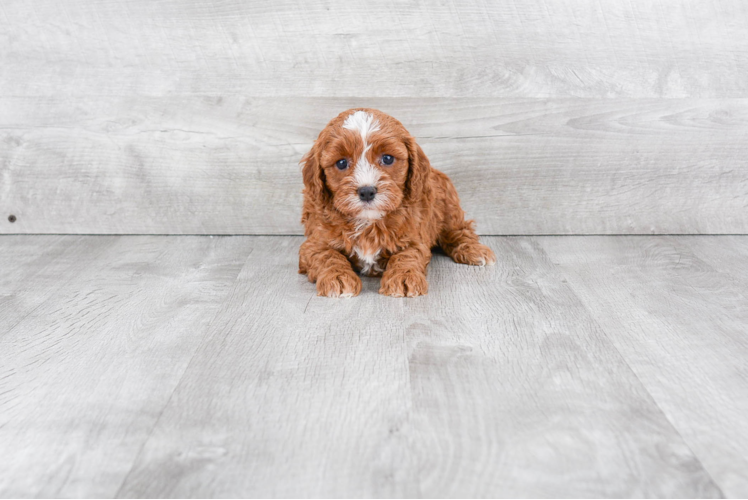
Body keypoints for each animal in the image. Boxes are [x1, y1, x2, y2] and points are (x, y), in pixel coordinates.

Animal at [298, 106, 496, 296]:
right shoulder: (313, 242)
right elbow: (326, 255)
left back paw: (474, 250)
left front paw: (403, 278)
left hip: (448, 206)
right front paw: (337, 277)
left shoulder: (414, 238)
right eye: (341, 163)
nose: (367, 191)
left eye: (387, 158)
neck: (368, 221)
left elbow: (407, 256)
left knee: (459, 231)